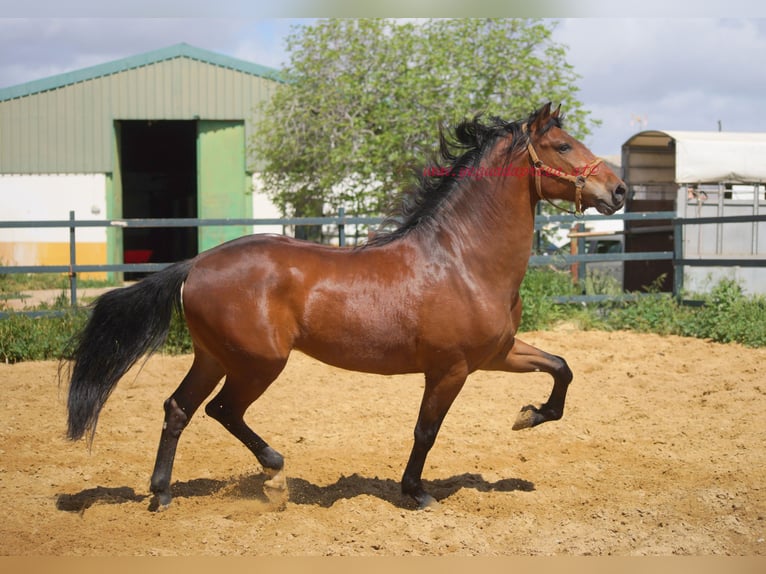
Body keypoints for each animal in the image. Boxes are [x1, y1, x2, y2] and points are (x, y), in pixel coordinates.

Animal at [63, 102, 626, 510]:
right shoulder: (451, 368)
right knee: (223, 410)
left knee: (179, 408)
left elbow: (562, 367)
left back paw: (161, 495)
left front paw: (529, 416)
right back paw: (273, 469)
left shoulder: (497, 354)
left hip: (214, 357)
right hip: (258, 362)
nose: (619, 190)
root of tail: (196, 265)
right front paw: (417, 493)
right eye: (562, 145)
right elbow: (426, 431)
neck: (464, 259)